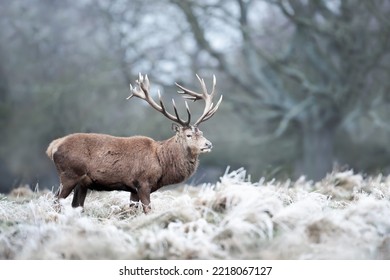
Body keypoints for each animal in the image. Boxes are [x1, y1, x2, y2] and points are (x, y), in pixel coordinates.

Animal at [46, 73, 222, 213]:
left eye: (202, 133)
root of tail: (52, 147)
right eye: (189, 135)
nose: (208, 144)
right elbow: (148, 210)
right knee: (55, 201)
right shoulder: (143, 182)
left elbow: (132, 210)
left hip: (82, 183)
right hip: (69, 174)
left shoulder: (133, 189)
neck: (162, 163)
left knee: (76, 206)